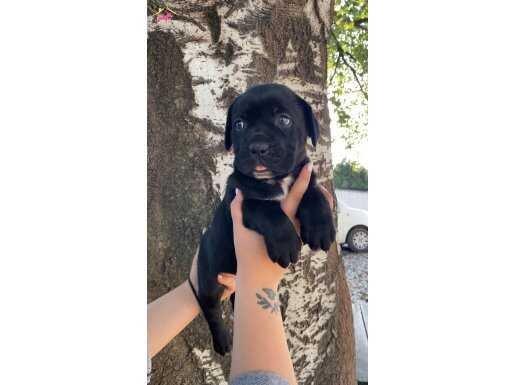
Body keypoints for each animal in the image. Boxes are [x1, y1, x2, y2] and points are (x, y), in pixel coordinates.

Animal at [197, 82, 334, 352]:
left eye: (284, 120)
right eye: (239, 124)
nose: (258, 147)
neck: (277, 181)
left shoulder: (304, 177)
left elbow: (313, 192)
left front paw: (321, 226)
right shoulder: (241, 200)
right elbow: (267, 210)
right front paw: (286, 244)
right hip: (208, 280)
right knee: (211, 309)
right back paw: (222, 342)